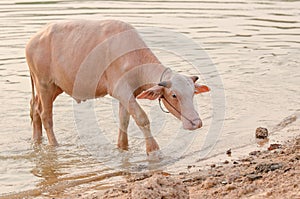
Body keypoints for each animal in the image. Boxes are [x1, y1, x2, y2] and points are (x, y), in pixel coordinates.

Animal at [25, 19, 210, 154]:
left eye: (192, 93)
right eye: (174, 95)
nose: (196, 123)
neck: (134, 59)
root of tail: (33, 40)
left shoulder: (128, 95)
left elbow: (124, 121)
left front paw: (122, 147)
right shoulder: (121, 91)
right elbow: (142, 118)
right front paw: (153, 150)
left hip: (55, 87)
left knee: (35, 108)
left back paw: (36, 140)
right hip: (44, 84)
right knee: (45, 115)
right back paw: (54, 145)